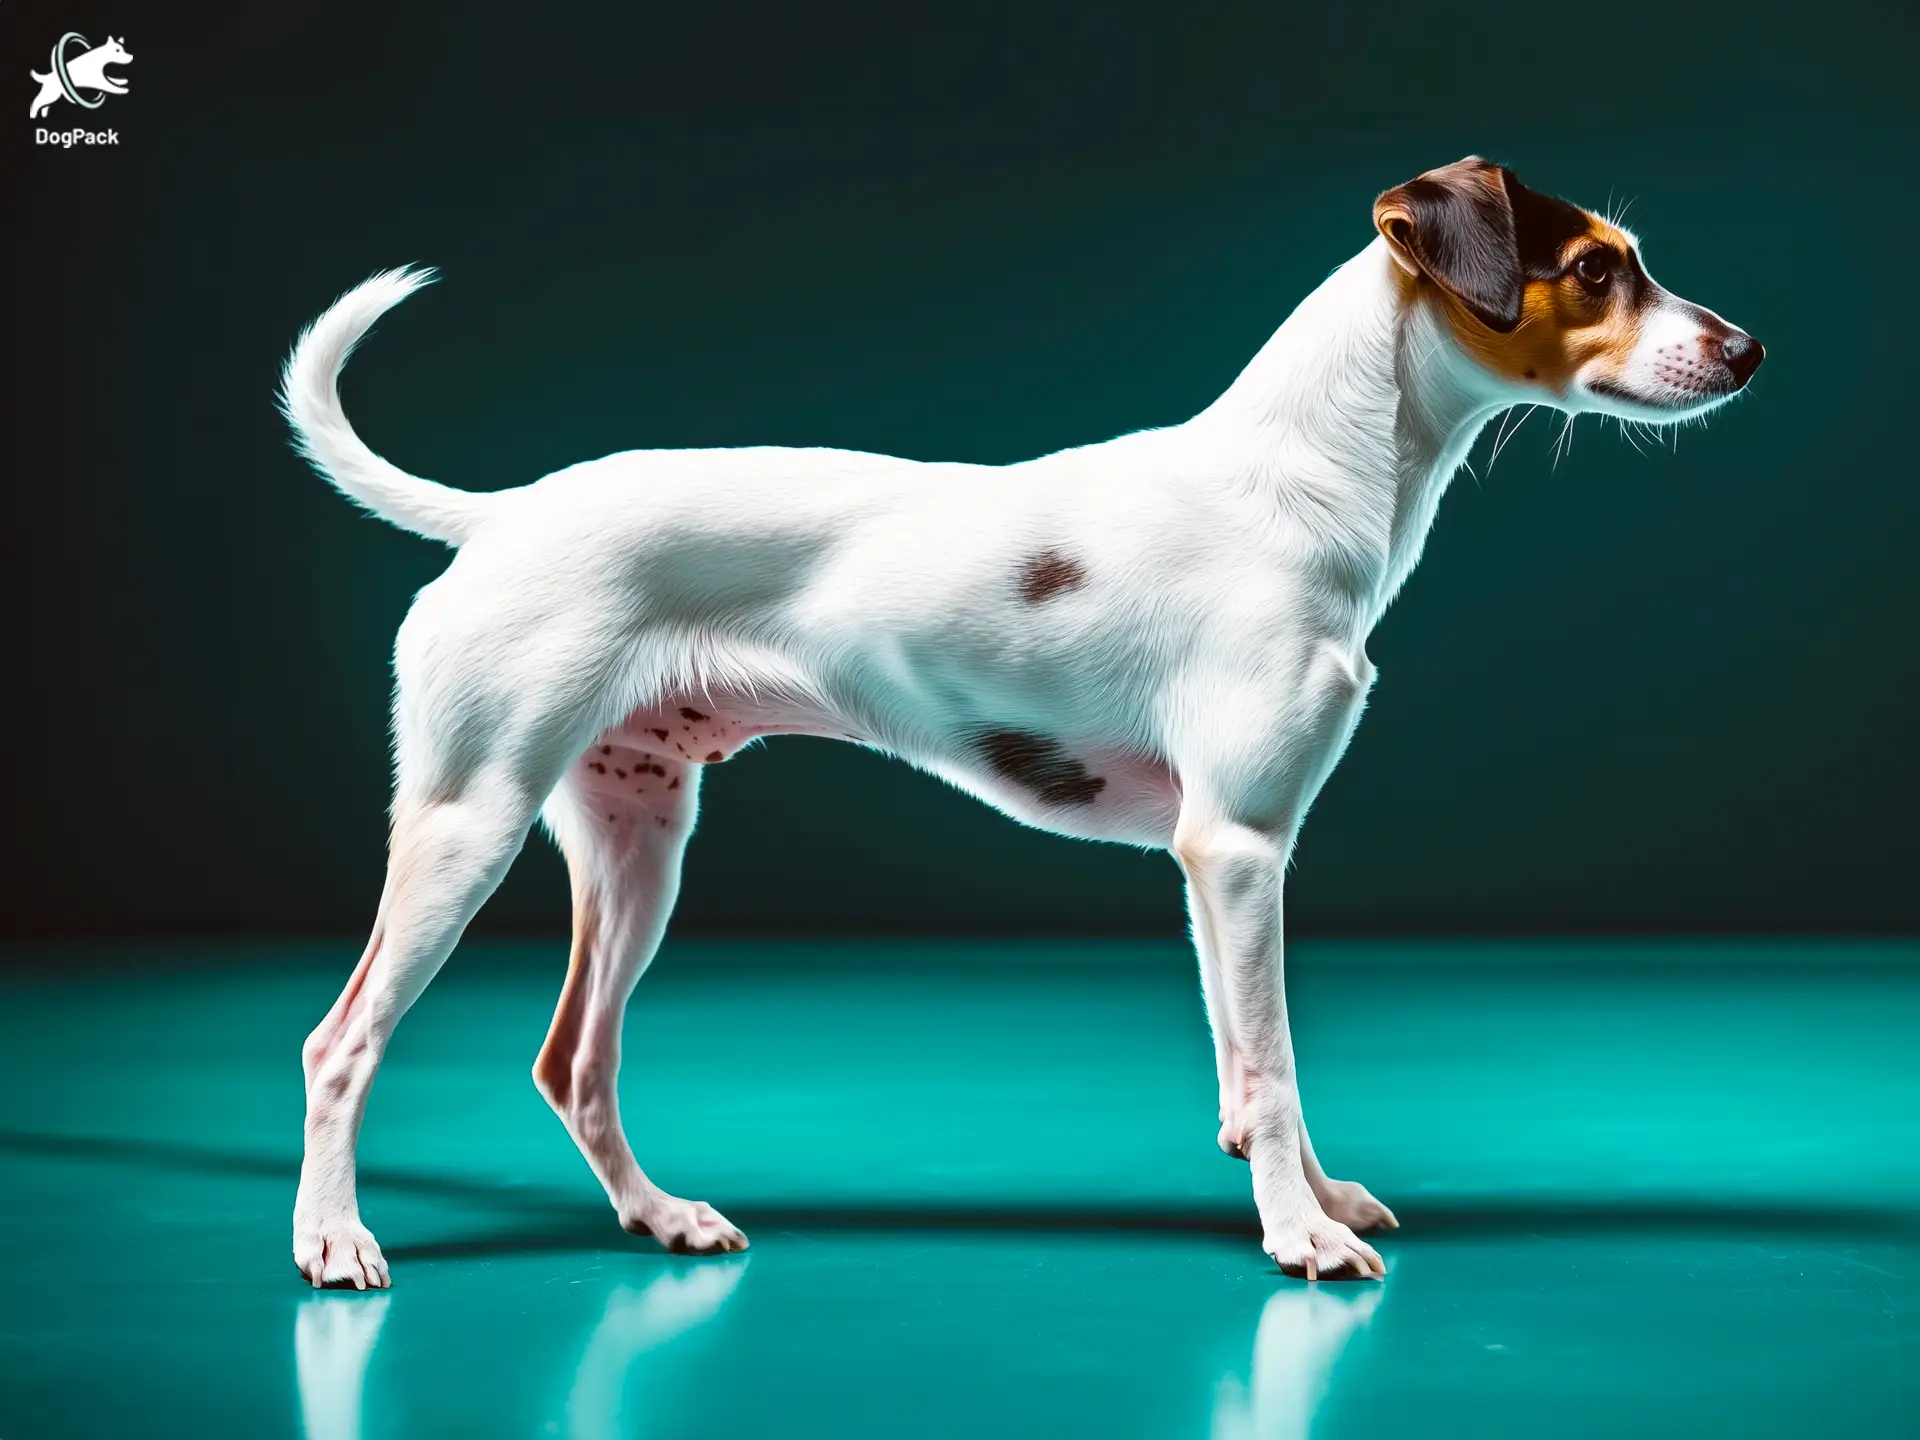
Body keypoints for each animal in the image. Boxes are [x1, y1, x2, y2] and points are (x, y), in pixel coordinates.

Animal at [278, 160, 1758, 1297]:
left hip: (641, 847)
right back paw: (335, 1241)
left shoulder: (1218, 862)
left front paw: (1314, 1195)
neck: (1298, 485)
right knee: (340, 1046)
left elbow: (1247, 1068)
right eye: (1594, 269)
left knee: (576, 1062)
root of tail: (505, 514)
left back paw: (661, 1218)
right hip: (468, 831)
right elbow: (1275, 1064)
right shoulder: (1239, 850)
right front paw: (1303, 1237)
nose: (1750, 350)